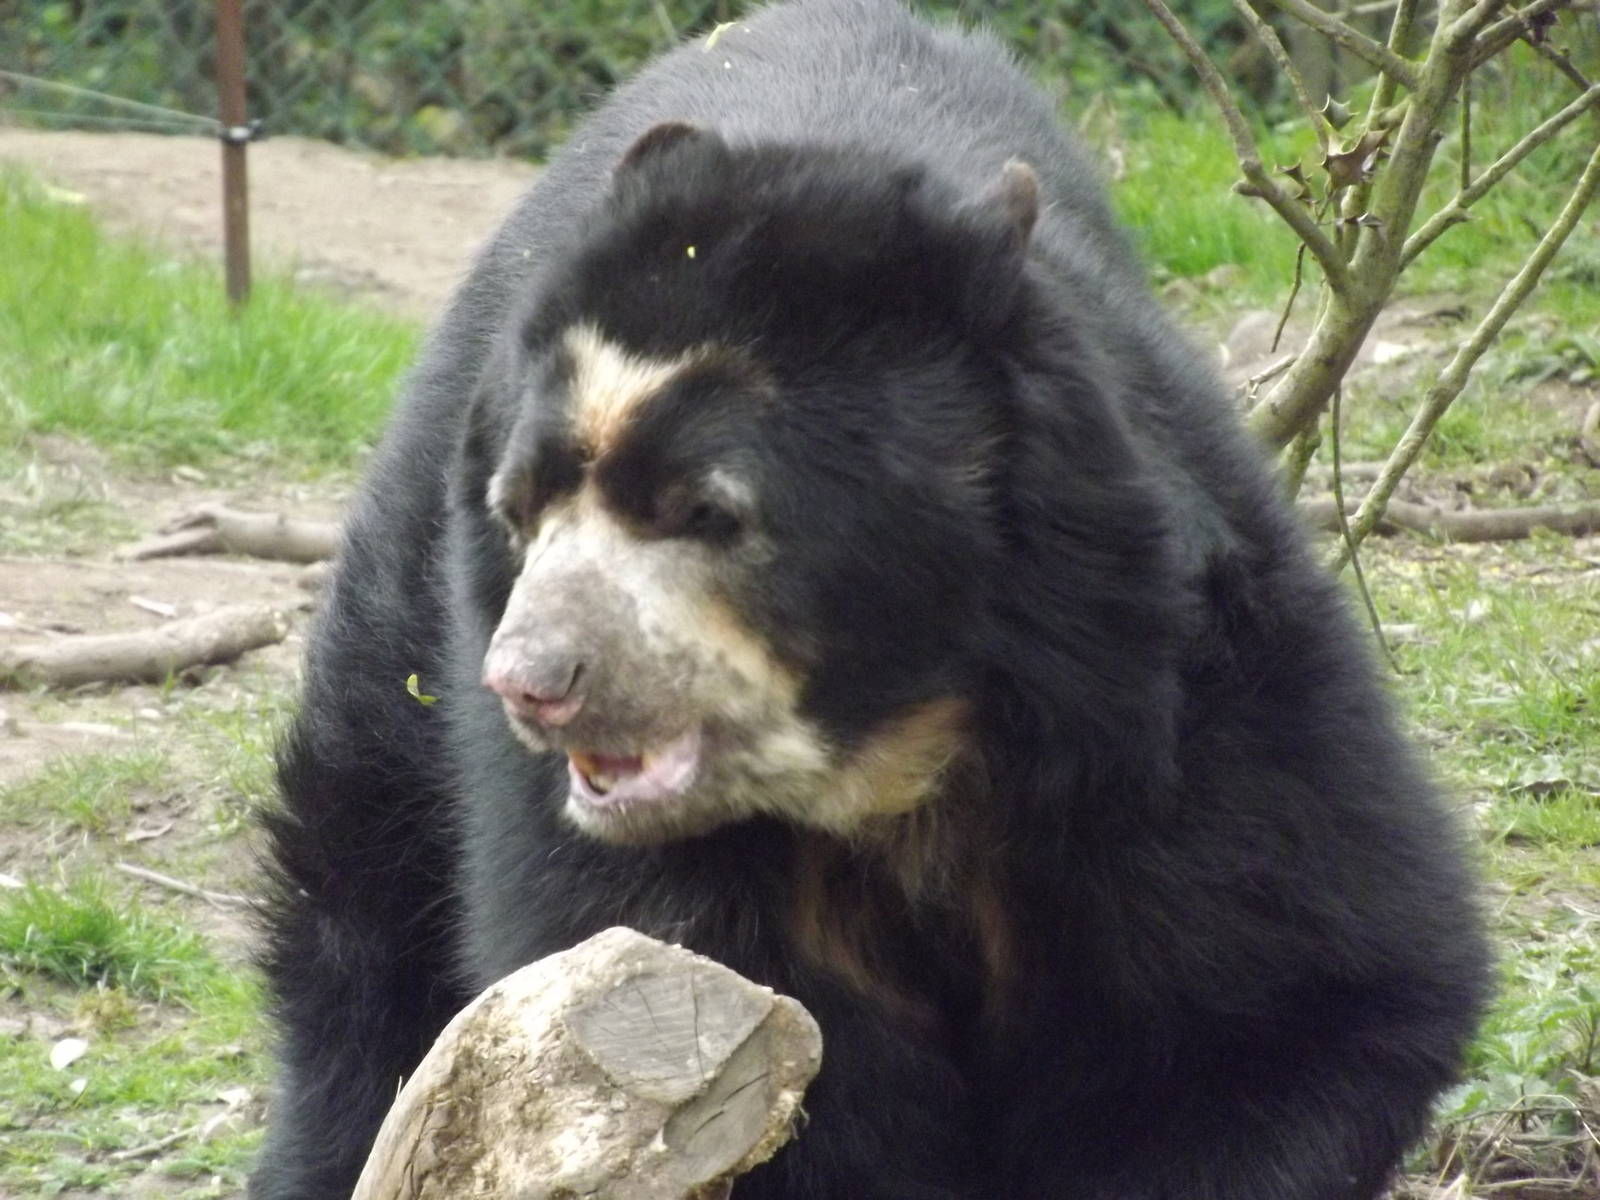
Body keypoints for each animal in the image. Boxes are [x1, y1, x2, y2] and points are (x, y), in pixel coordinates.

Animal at [250, 1, 1489, 1196]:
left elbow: (1292, 997)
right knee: (361, 916)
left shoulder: (1172, 700)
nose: (533, 683)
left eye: (707, 512)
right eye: (522, 507)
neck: (895, 752)